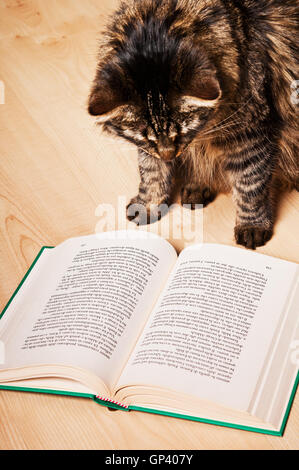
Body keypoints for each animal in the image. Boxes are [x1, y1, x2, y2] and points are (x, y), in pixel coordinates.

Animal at [88, 0, 298, 250]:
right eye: (144, 136)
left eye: (183, 131)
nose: (169, 154)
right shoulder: (152, 149)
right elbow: (151, 172)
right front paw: (148, 203)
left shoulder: (250, 136)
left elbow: (250, 186)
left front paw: (251, 225)